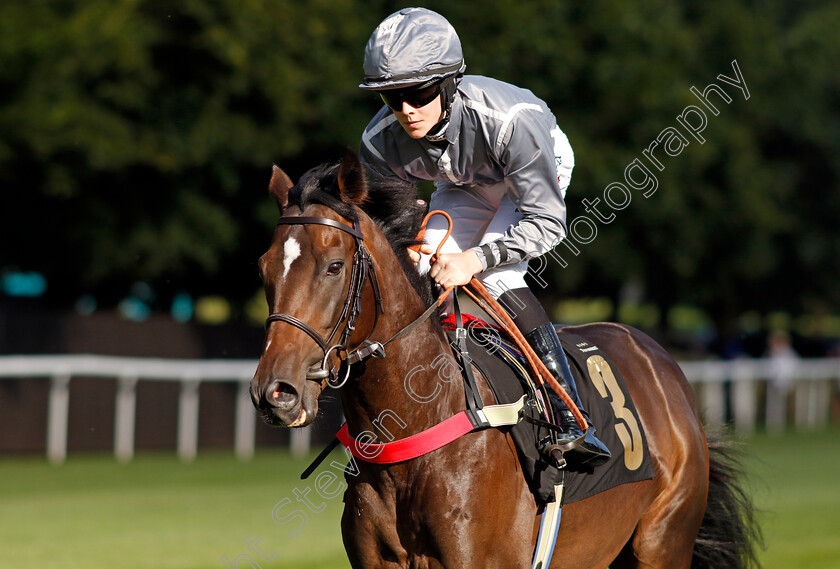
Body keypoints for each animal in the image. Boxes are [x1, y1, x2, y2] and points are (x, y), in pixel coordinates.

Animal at [251, 151, 760, 568]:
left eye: (334, 266)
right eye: (264, 267)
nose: (276, 392)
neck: (415, 427)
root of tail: (660, 360)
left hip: (664, 541)